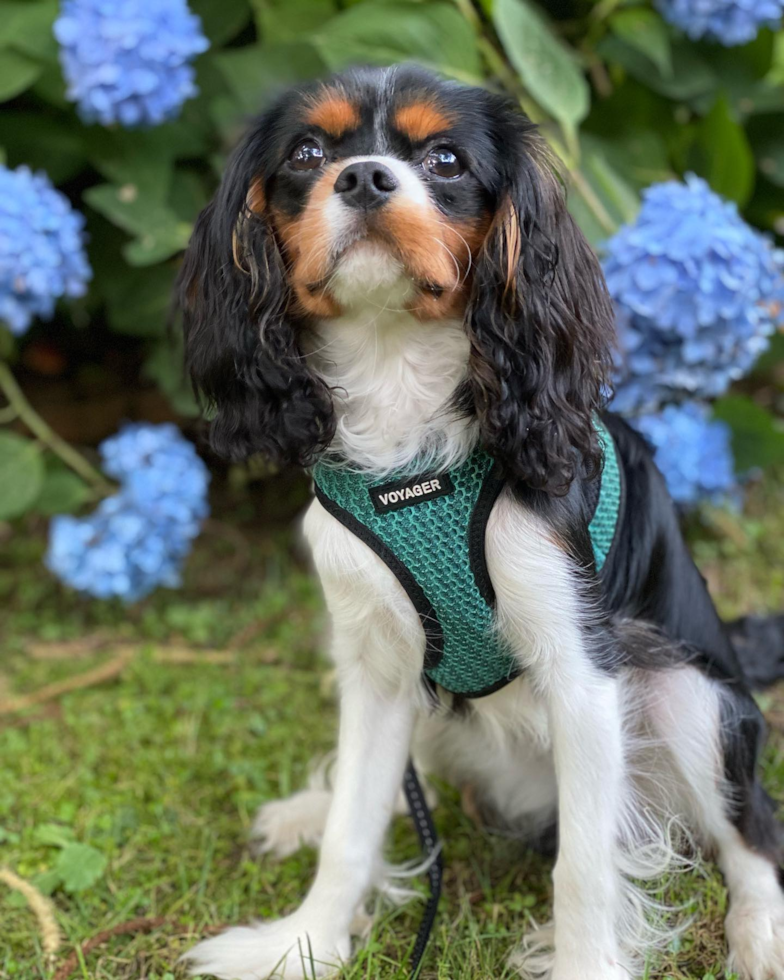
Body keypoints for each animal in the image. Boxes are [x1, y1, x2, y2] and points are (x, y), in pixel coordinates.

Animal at [178, 65, 784, 976]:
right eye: (309, 154)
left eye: (446, 161)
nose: (363, 177)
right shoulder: (374, 665)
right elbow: (355, 826)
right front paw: (303, 941)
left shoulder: (584, 672)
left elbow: (584, 868)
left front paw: (583, 965)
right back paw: (310, 809)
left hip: (689, 697)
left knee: (753, 833)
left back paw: (760, 933)